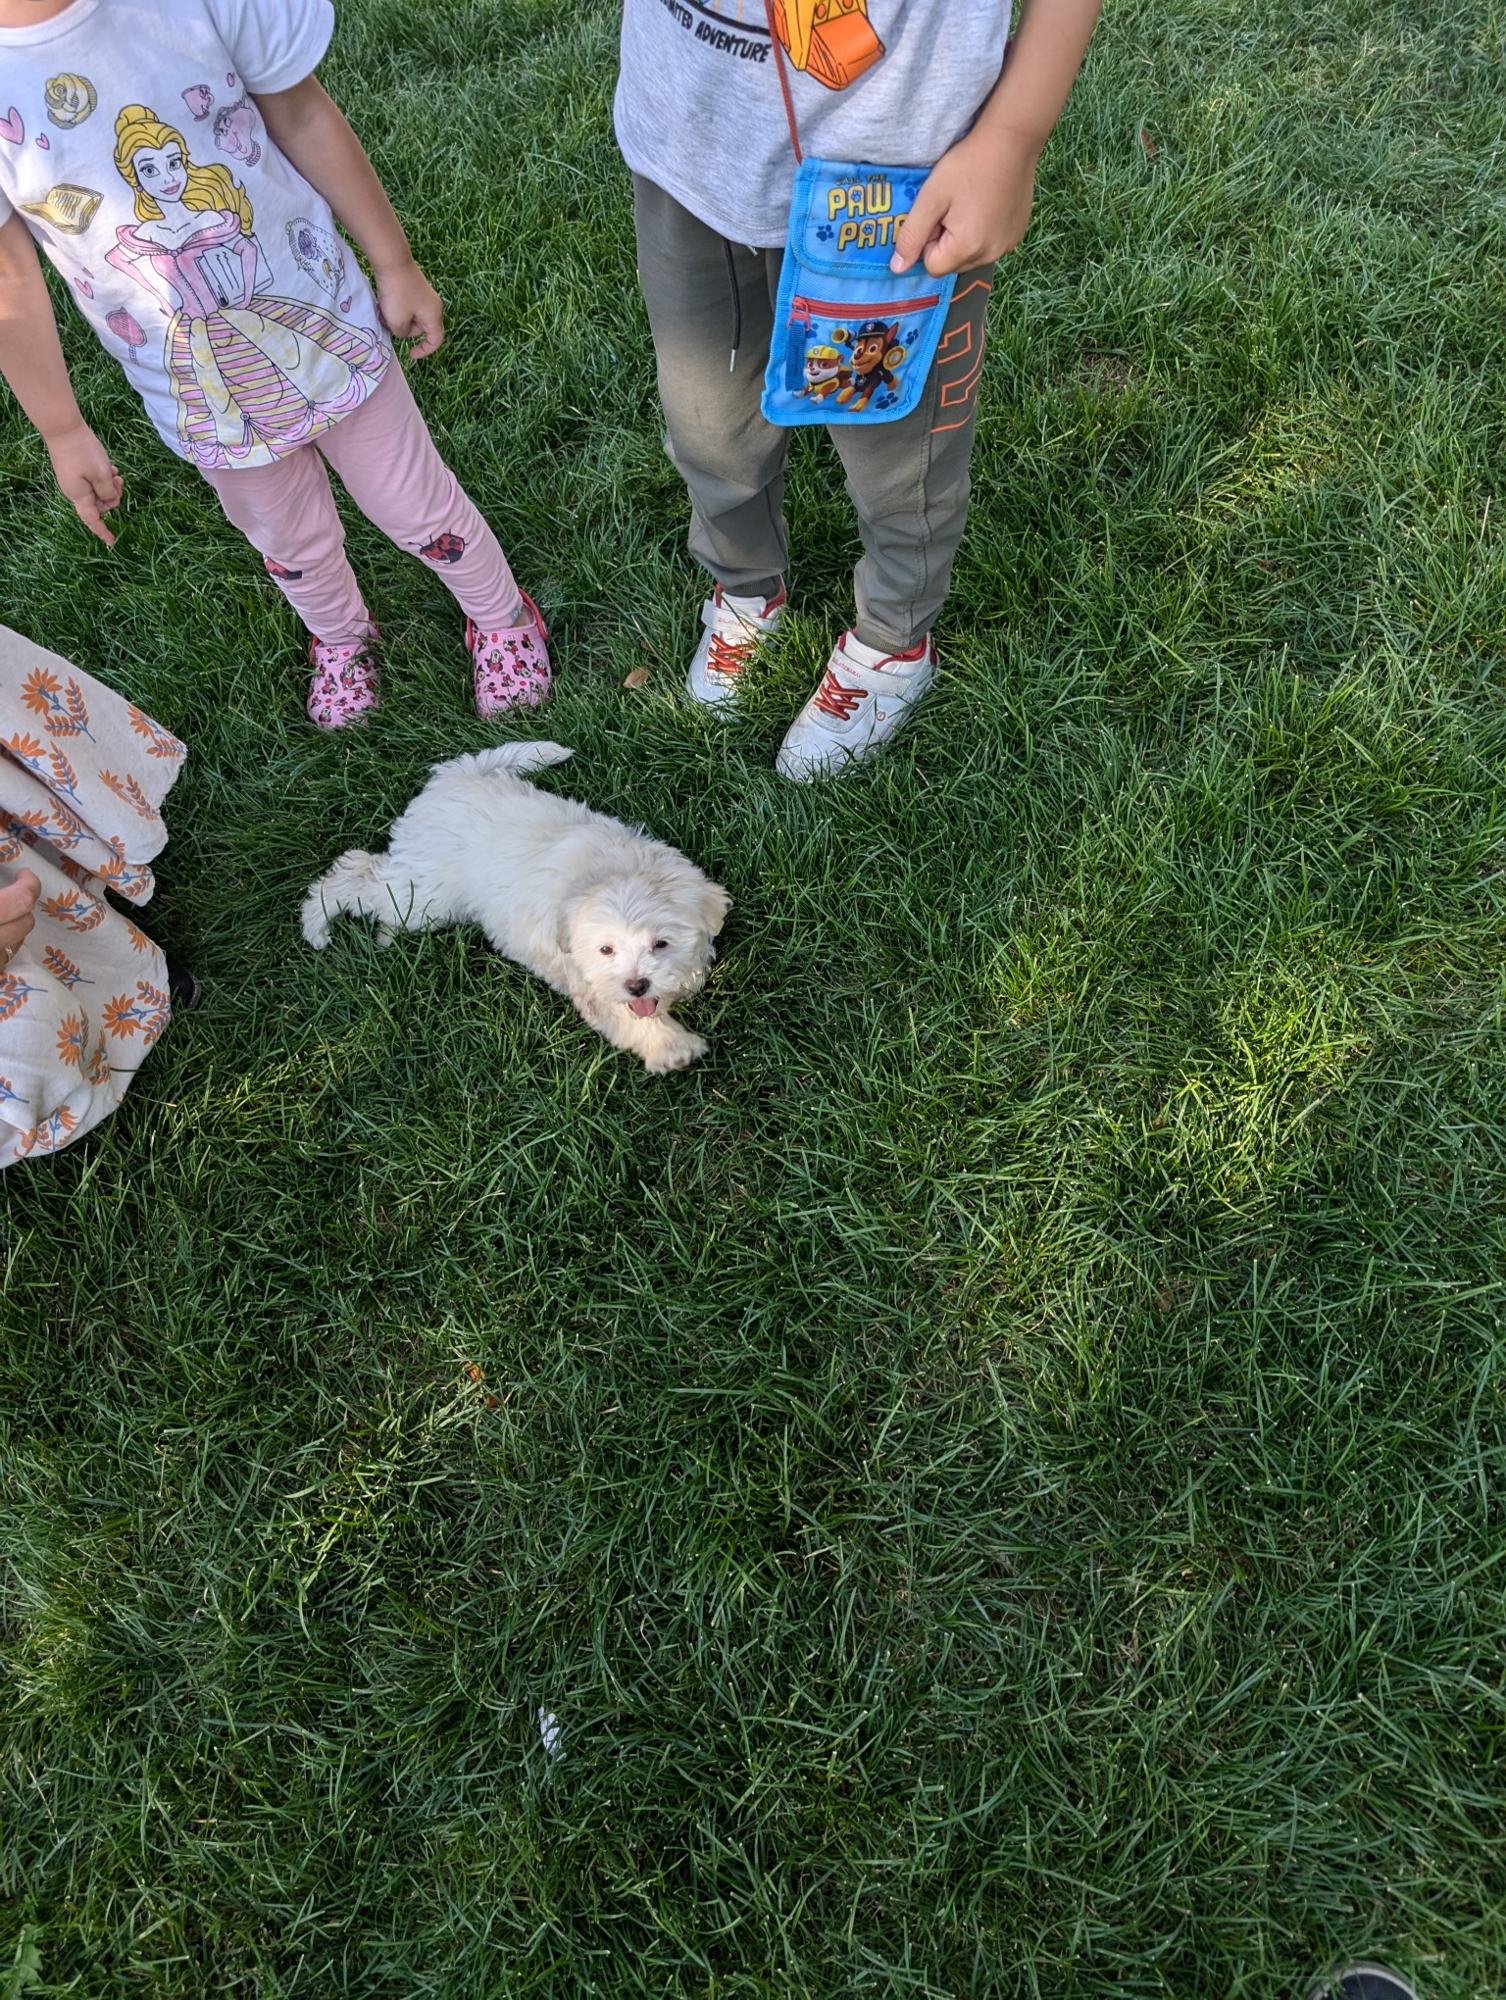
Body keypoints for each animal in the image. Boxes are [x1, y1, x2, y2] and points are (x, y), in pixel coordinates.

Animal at [300, 744, 729, 1073]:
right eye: (606, 950)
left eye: (661, 944)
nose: (636, 985)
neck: (613, 871)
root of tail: (459, 775)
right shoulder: (586, 978)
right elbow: (626, 1015)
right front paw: (673, 1049)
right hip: (426, 894)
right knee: (357, 874)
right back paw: (316, 922)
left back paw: (383, 935)